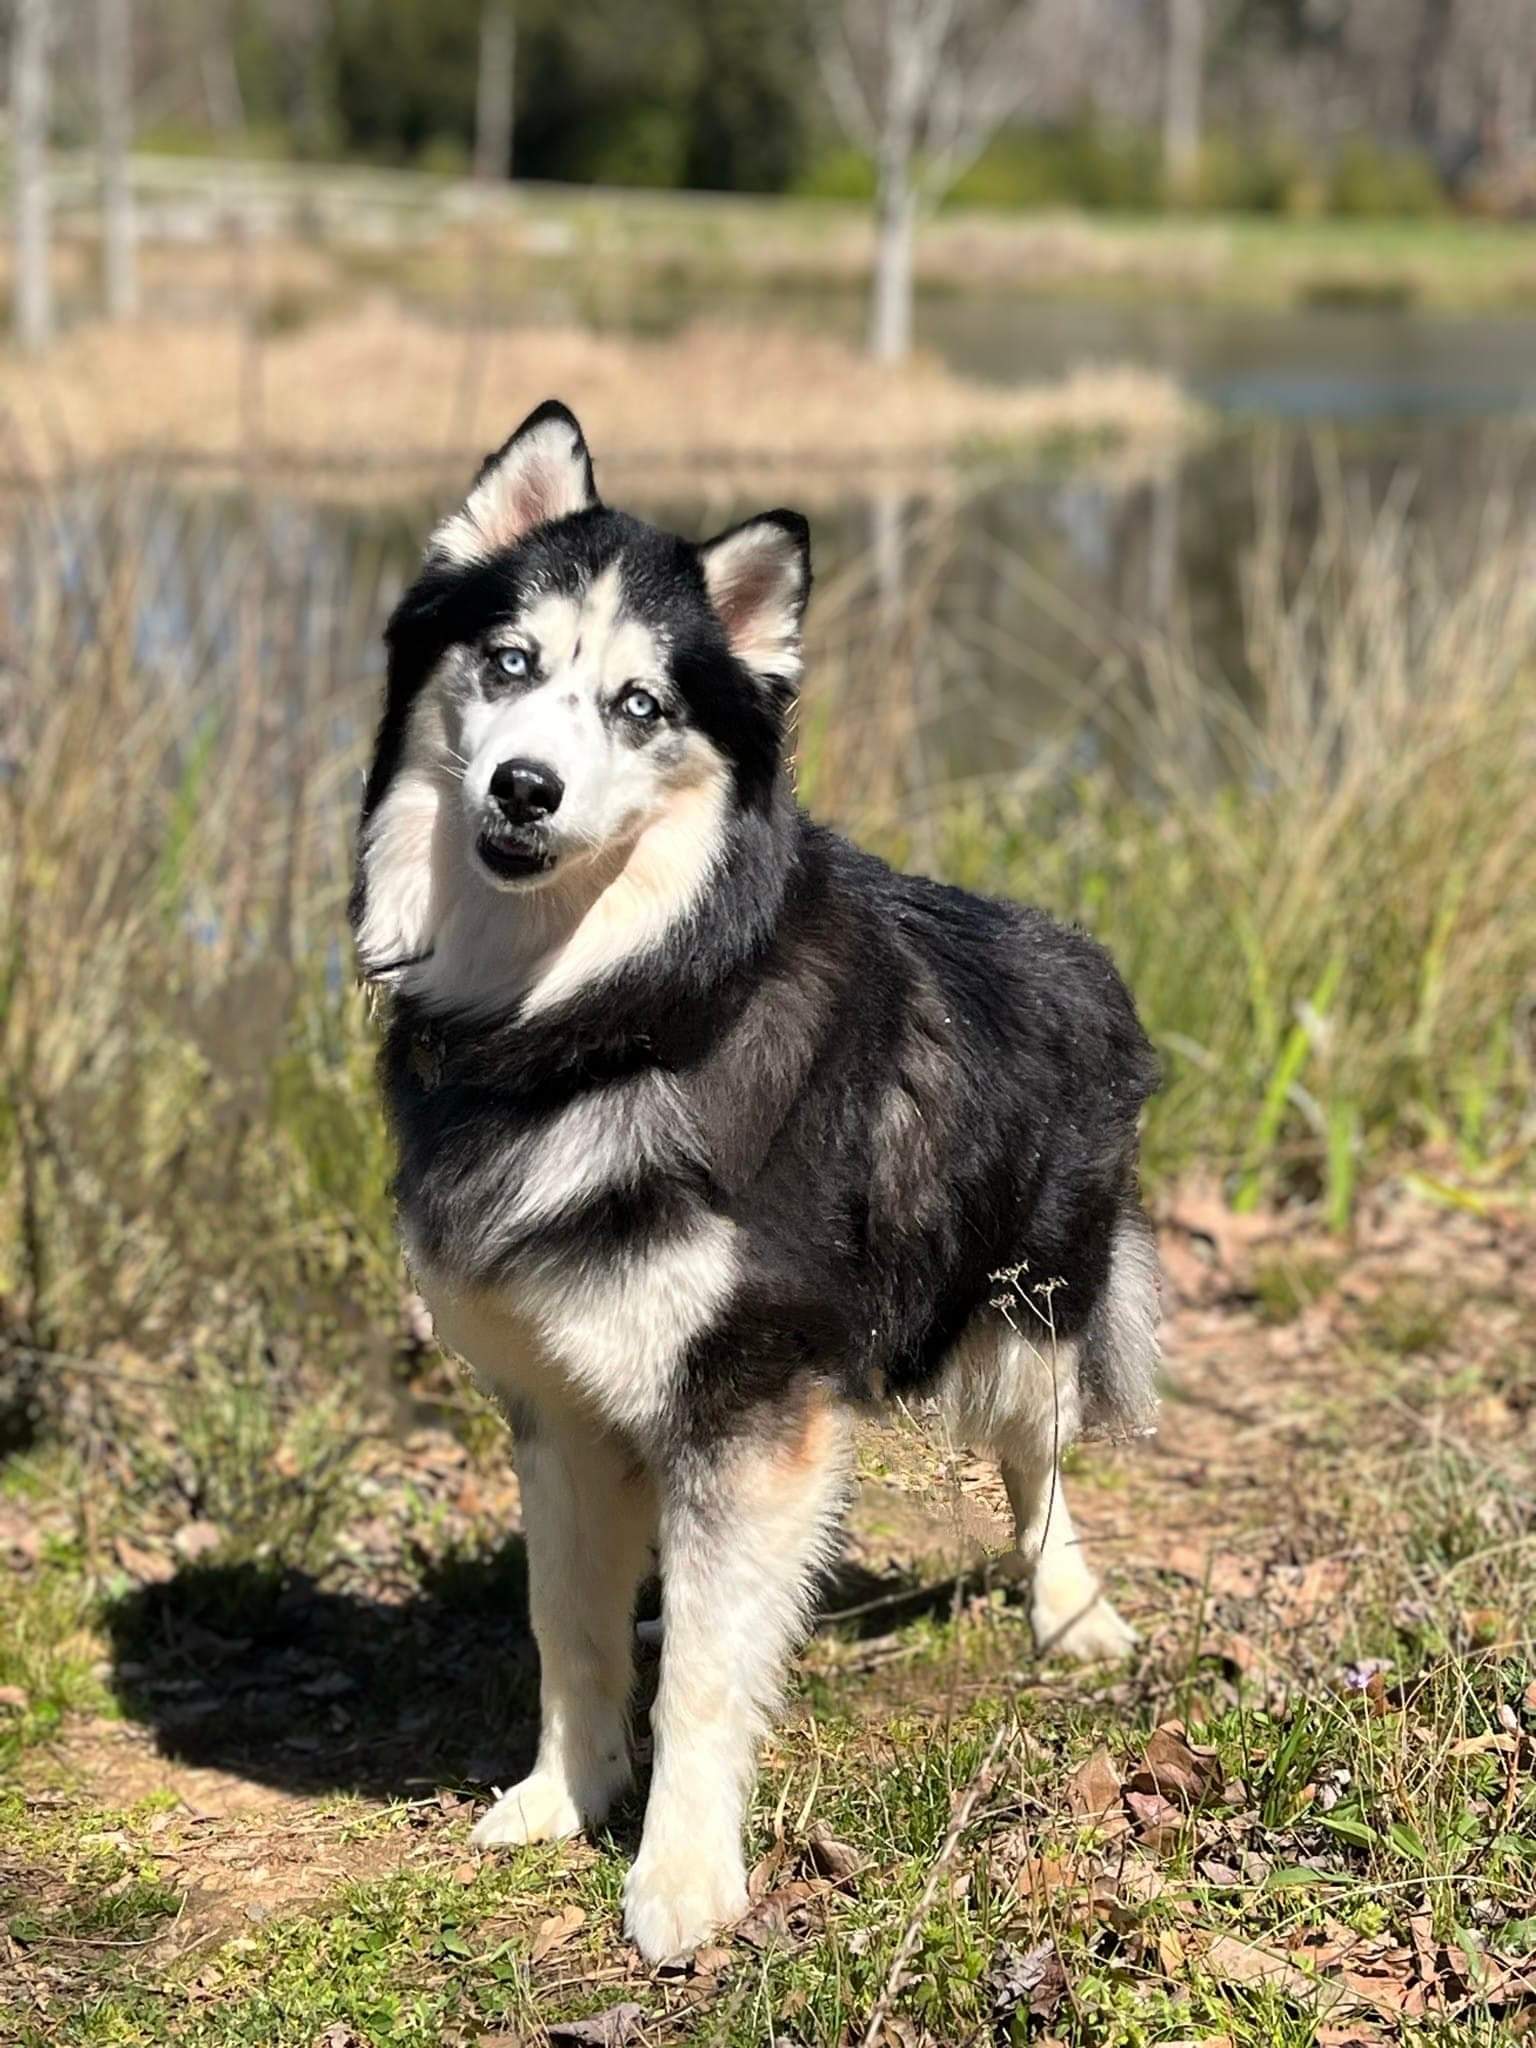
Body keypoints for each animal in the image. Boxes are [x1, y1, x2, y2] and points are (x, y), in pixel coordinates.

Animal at [352, 403, 1163, 1966]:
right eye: (509, 663)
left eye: (640, 707)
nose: (524, 788)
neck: (595, 1019)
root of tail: (1078, 953)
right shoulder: (558, 1403)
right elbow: (569, 1623)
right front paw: (566, 1791)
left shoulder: (753, 1398)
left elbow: (713, 1673)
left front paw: (682, 1873)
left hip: (1028, 1318)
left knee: (1038, 1473)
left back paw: (1073, 1616)